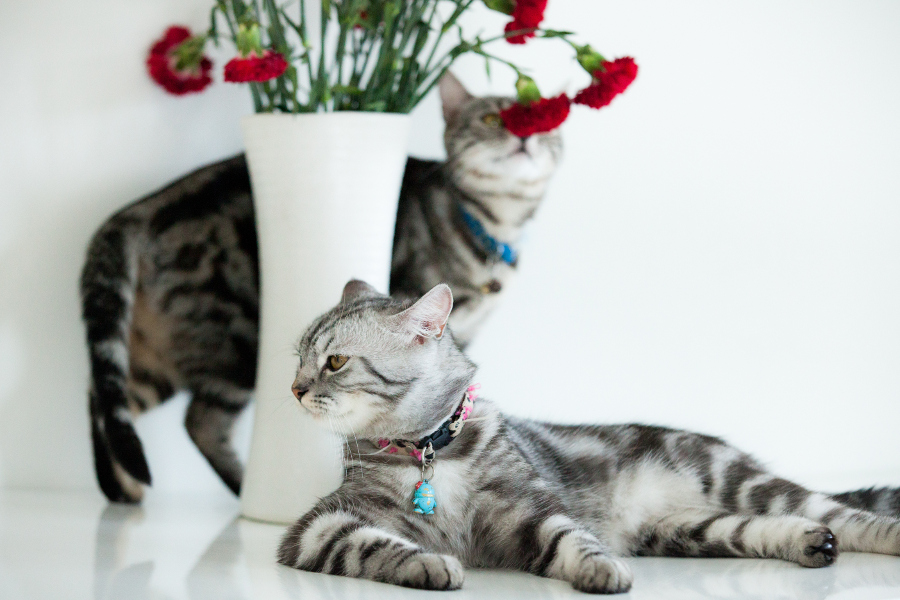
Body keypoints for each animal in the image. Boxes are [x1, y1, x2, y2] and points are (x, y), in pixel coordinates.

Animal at [81, 72, 560, 504]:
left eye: (542, 123)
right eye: (493, 119)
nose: (525, 138)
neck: (495, 227)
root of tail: (137, 210)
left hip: (151, 356)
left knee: (106, 400)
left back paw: (121, 490)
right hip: (234, 345)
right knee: (197, 422)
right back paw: (233, 490)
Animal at [278, 282, 900, 596]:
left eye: (334, 362)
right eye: (299, 358)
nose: (293, 389)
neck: (430, 452)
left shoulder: (531, 509)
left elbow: (571, 538)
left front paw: (601, 571)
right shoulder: (321, 527)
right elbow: (374, 544)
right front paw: (431, 565)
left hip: (741, 482)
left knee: (844, 513)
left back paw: (876, 536)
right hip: (689, 531)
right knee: (767, 528)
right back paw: (810, 545)